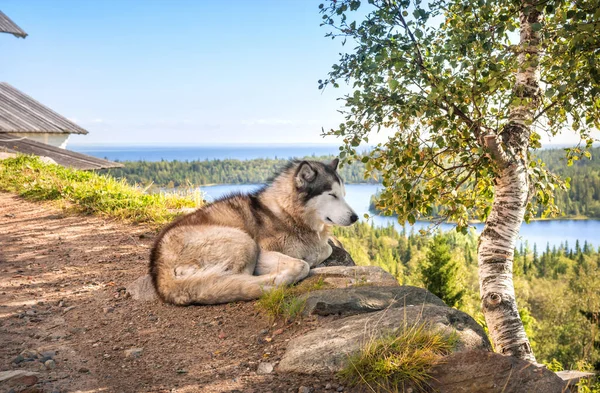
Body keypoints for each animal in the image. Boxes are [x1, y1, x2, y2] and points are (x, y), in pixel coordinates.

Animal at [149, 158, 356, 304]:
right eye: (332, 195)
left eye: (344, 195)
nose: (355, 217)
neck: (287, 212)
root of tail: (158, 269)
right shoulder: (264, 252)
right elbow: (303, 262)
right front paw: (304, 262)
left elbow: (326, 248)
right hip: (244, 242)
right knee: (238, 279)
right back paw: (274, 281)